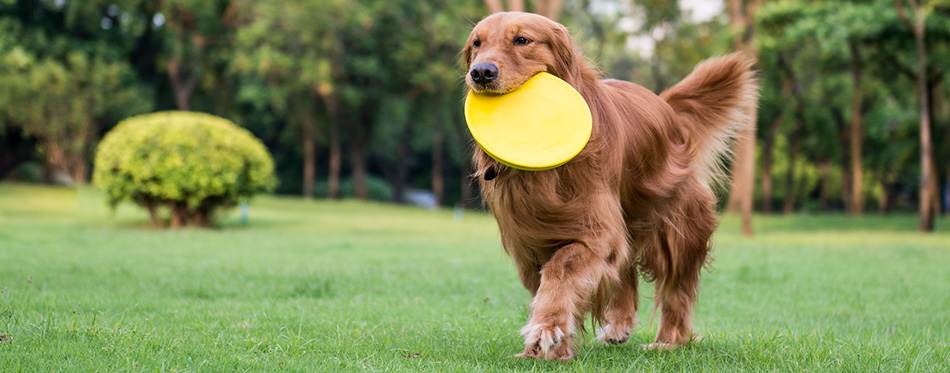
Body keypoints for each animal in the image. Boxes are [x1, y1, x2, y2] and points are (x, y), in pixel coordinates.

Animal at [462, 12, 760, 360]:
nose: (481, 72)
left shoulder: (597, 229)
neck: (544, 175)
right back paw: (620, 324)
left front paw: (547, 327)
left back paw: (669, 339)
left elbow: (561, 268)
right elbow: (548, 283)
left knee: (676, 288)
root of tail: (666, 107)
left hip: (674, 229)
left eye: (522, 40)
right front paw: (549, 347)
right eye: (477, 44)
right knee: (626, 269)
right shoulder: (529, 242)